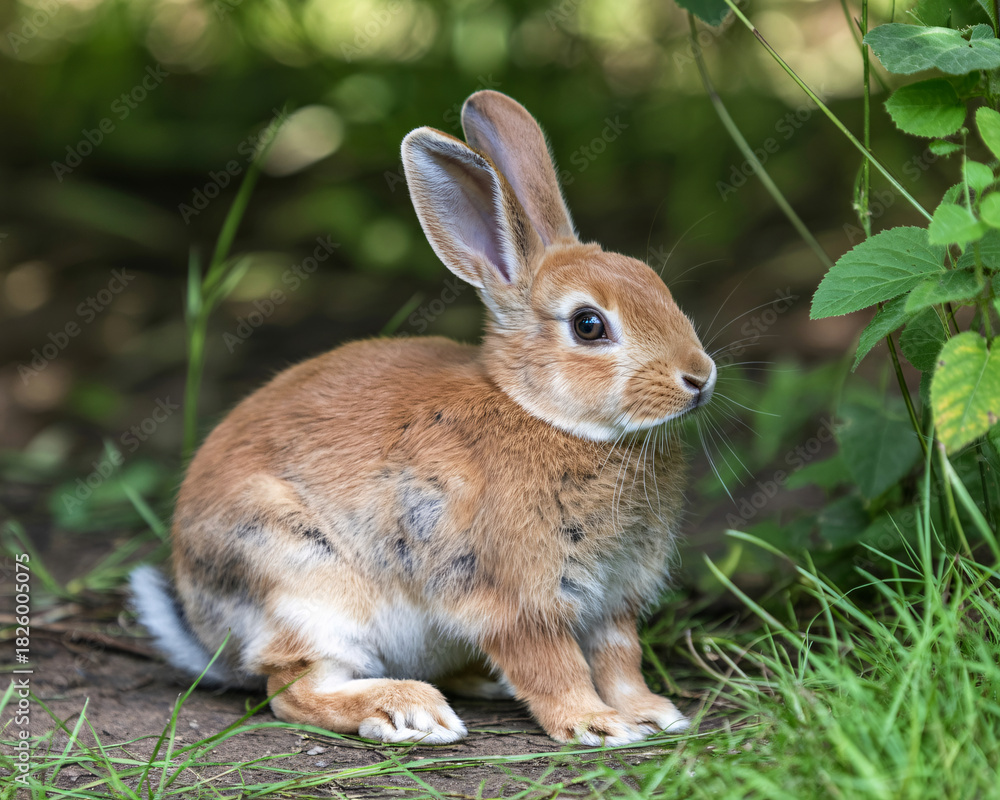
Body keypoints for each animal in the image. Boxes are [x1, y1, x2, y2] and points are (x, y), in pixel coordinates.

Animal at [130, 90, 716, 746]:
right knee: (292, 688)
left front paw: (653, 714)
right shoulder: (514, 599)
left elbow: (621, 660)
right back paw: (408, 711)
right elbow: (553, 666)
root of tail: (204, 626)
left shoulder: (613, 603)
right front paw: (596, 726)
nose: (699, 377)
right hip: (304, 583)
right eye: (589, 325)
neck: (545, 415)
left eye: (655, 283)